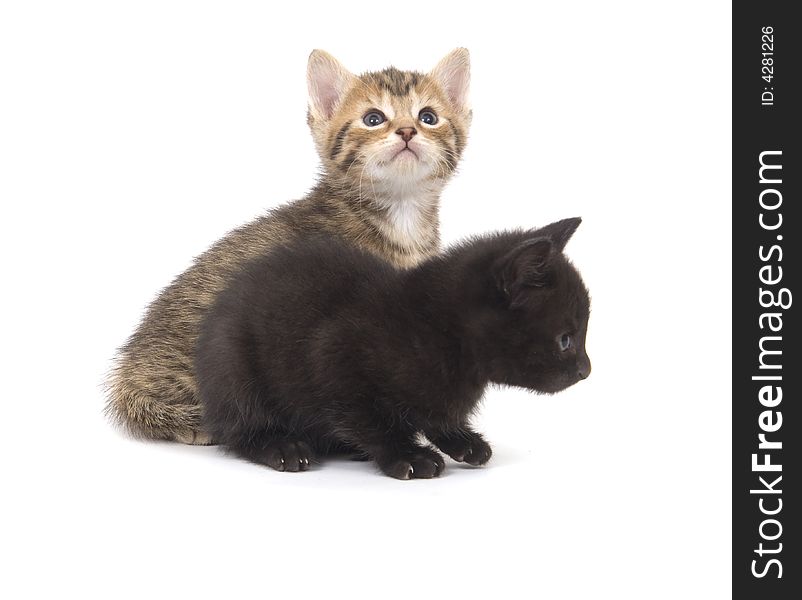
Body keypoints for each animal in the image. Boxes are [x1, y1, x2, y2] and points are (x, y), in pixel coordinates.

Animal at [197, 218, 592, 480]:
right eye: (566, 339)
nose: (586, 370)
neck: (436, 331)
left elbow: (433, 413)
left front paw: (461, 439)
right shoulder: (333, 357)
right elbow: (371, 420)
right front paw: (409, 455)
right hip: (232, 365)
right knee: (240, 427)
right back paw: (282, 446)